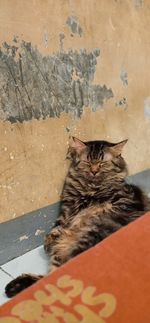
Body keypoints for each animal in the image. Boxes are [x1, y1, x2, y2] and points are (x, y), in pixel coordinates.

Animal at [4, 138, 149, 298]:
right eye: (87, 162)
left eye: (102, 163)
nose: (94, 171)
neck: (90, 188)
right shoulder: (67, 208)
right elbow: (57, 226)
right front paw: (50, 241)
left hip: (90, 234)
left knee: (56, 279)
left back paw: (15, 286)